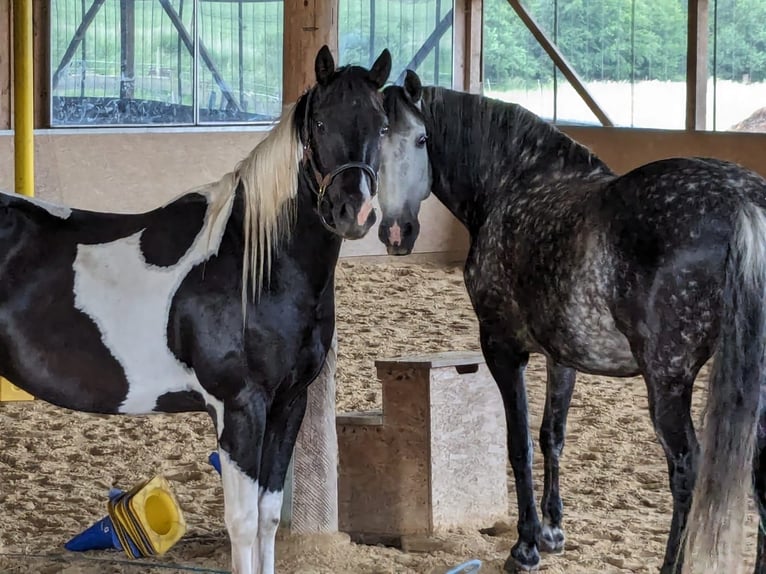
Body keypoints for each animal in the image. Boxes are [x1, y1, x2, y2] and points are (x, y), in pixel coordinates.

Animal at [0, 46, 392, 574]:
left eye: (382, 124)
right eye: (321, 123)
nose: (355, 212)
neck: (253, 264)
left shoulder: (289, 405)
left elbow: (268, 518)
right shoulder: (239, 407)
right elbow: (243, 524)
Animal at [380, 68, 766, 574]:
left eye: (422, 138)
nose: (397, 232)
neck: (513, 183)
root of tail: (745, 203)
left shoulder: (503, 349)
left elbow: (519, 444)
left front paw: (525, 546)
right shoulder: (561, 355)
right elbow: (552, 436)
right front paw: (552, 531)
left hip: (667, 380)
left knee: (687, 472)